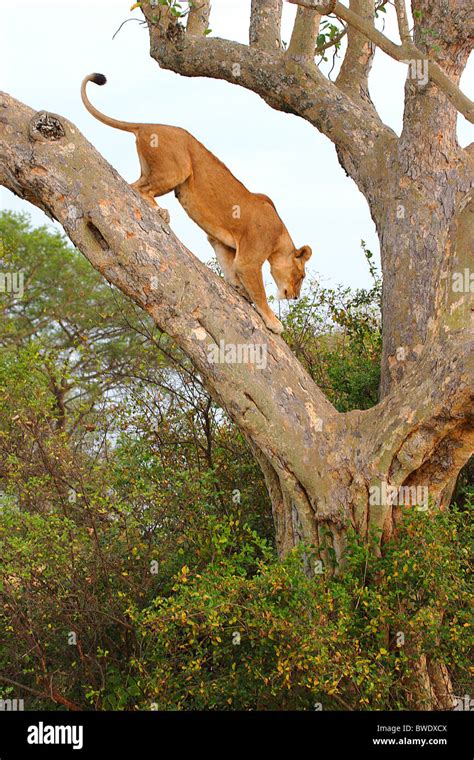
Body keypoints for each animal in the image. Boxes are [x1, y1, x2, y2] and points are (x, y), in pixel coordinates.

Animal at [80, 73, 312, 332]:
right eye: (301, 276)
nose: (295, 297)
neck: (280, 235)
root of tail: (146, 125)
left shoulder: (222, 243)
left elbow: (229, 269)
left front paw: (238, 289)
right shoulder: (250, 259)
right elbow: (258, 291)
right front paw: (273, 322)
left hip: (155, 169)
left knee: (133, 184)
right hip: (178, 168)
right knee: (138, 189)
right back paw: (161, 213)